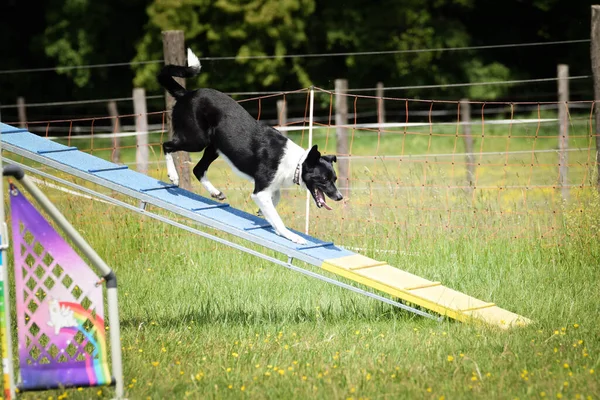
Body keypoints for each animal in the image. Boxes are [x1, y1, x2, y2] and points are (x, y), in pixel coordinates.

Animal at [157, 49, 342, 244]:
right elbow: (277, 217)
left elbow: (275, 199)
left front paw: (263, 213)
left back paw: (215, 193)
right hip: (197, 140)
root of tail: (186, 94)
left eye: (335, 179)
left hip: (214, 148)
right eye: (324, 179)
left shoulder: (269, 187)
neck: (296, 163)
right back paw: (173, 176)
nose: (339, 197)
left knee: (198, 169)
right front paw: (291, 236)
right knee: (167, 145)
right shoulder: (260, 191)